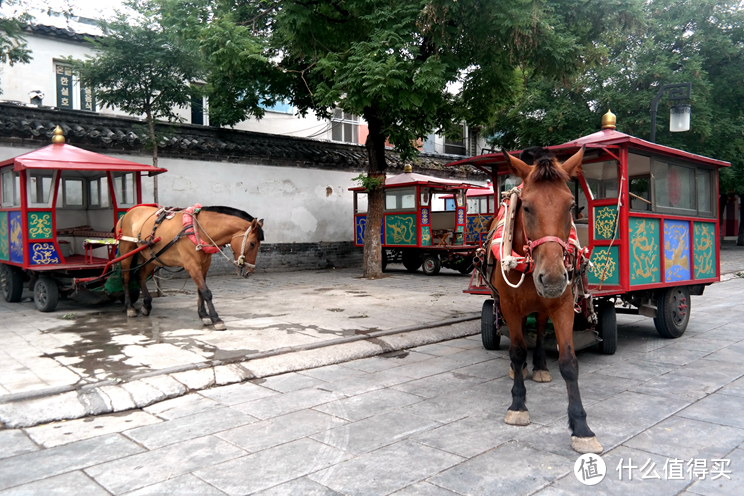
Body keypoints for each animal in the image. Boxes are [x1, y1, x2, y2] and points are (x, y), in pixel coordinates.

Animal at [116, 205, 264, 330]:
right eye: (252, 244)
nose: (249, 272)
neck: (198, 230)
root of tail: (128, 212)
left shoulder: (204, 265)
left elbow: (200, 290)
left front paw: (204, 315)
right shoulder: (192, 265)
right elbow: (206, 292)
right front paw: (216, 319)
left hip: (151, 256)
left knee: (140, 275)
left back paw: (146, 305)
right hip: (126, 249)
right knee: (125, 277)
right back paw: (129, 307)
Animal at [488, 146, 604, 454]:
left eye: (570, 206)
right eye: (527, 207)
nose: (551, 278)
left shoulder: (562, 305)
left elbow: (569, 362)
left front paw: (582, 427)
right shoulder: (509, 305)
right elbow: (516, 350)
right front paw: (518, 404)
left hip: (543, 305)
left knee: (540, 329)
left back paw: (539, 365)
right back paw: (520, 369)